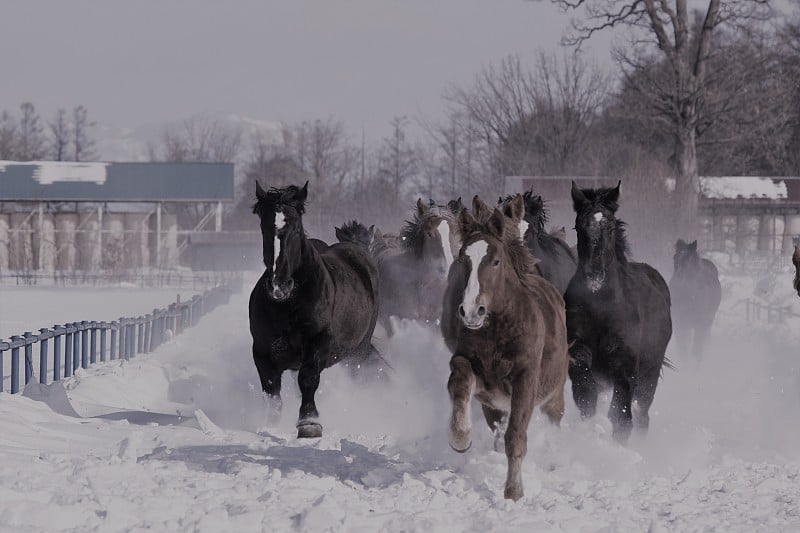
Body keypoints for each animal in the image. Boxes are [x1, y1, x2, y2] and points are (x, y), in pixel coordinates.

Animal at [252, 181, 386, 438]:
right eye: (263, 227)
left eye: (296, 229)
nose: (279, 285)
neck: (289, 304)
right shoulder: (262, 350)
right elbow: (271, 391)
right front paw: (270, 426)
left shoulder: (318, 343)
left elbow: (308, 378)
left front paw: (309, 423)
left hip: (358, 350)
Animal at [438, 194, 568, 498]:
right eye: (463, 258)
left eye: (495, 261)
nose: (470, 311)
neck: (498, 331)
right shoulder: (474, 371)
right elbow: (459, 382)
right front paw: (460, 438)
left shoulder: (526, 380)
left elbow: (515, 436)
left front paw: (513, 491)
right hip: (494, 404)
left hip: (554, 395)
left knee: (553, 419)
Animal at [564, 181, 672, 442]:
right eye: (579, 226)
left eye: (611, 226)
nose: (594, 275)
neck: (601, 306)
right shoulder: (579, 352)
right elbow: (586, 396)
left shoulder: (625, 362)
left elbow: (621, 417)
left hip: (650, 373)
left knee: (642, 413)